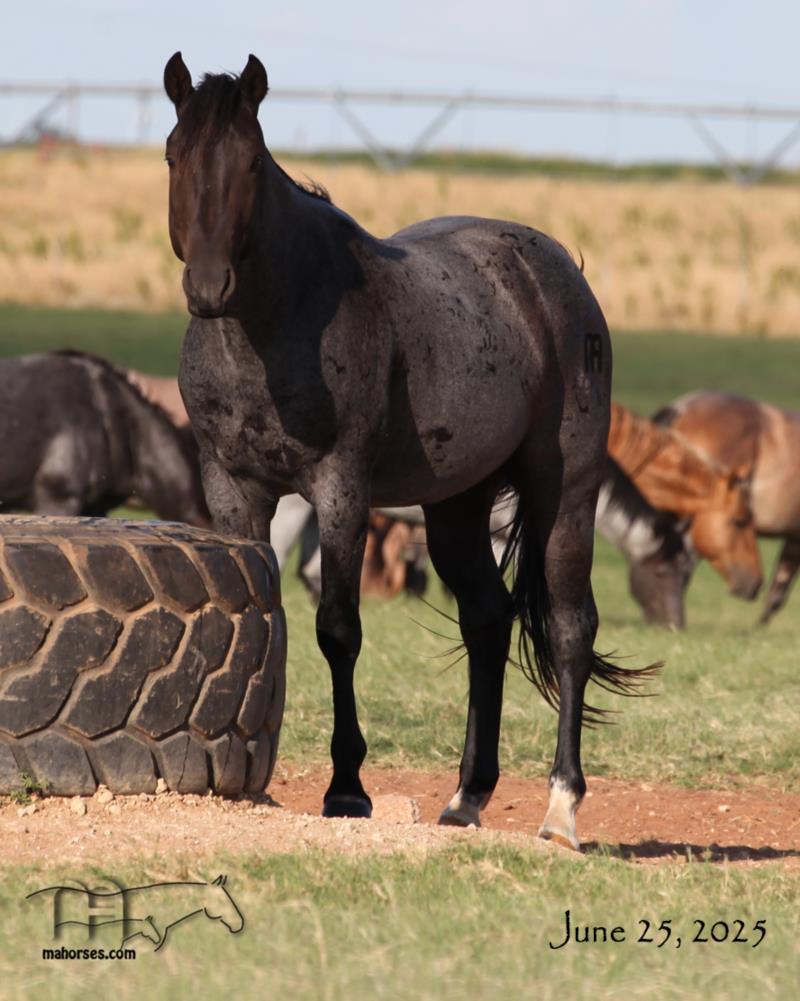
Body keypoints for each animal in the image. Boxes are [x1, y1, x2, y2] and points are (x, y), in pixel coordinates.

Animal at [163, 52, 657, 850]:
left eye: (249, 163)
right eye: (175, 156)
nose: (209, 286)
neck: (271, 324)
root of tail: (560, 274)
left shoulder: (340, 488)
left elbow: (337, 627)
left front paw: (347, 788)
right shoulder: (232, 487)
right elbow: (258, 617)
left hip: (565, 489)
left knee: (571, 626)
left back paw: (561, 808)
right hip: (456, 503)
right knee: (487, 617)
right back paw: (467, 795)